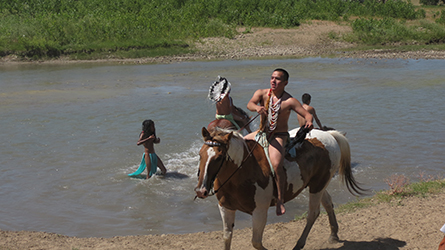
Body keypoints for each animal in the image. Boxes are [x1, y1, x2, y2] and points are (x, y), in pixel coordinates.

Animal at [194, 127, 364, 250]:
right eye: (200, 154)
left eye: (219, 157)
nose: (201, 191)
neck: (243, 170)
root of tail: (328, 135)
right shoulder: (226, 208)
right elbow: (227, 237)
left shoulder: (260, 212)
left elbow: (256, 242)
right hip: (317, 184)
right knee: (328, 202)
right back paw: (334, 235)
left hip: (318, 185)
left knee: (313, 213)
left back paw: (299, 244)